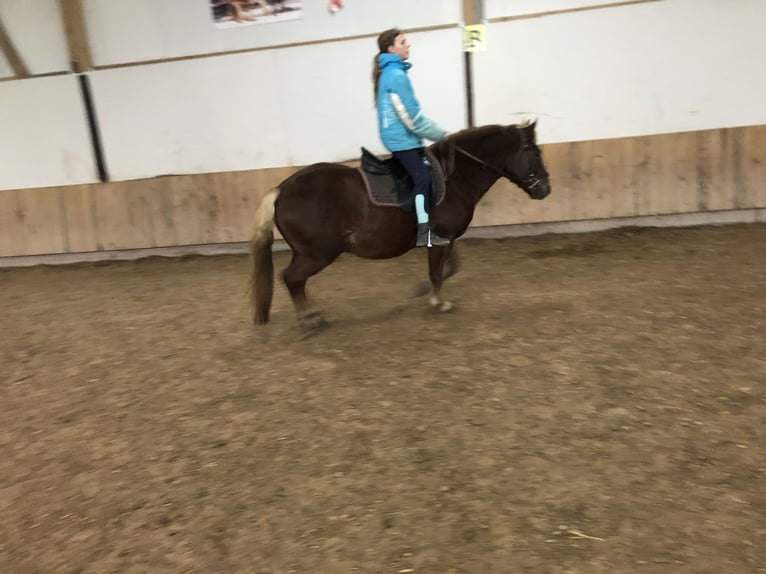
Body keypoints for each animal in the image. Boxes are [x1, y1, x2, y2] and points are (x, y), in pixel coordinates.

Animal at [248, 120, 551, 329]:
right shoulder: (439, 238)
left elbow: (449, 268)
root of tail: (282, 190)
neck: (454, 177)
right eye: (533, 152)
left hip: (306, 253)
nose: (545, 189)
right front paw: (439, 302)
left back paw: (310, 313)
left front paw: (422, 290)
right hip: (317, 254)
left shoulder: (446, 238)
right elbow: (437, 272)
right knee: (292, 278)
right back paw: (309, 318)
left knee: (295, 280)